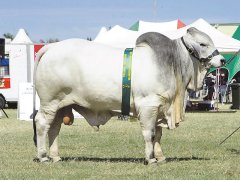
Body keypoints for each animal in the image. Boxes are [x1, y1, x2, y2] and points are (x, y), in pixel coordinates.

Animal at [33, 27, 225, 164]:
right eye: (203, 44)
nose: (222, 60)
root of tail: (52, 47)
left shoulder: (160, 108)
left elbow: (158, 134)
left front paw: (160, 156)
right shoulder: (148, 105)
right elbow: (149, 133)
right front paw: (151, 158)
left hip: (61, 105)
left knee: (54, 128)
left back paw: (55, 156)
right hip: (49, 102)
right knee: (42, 124)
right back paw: (43, 156)